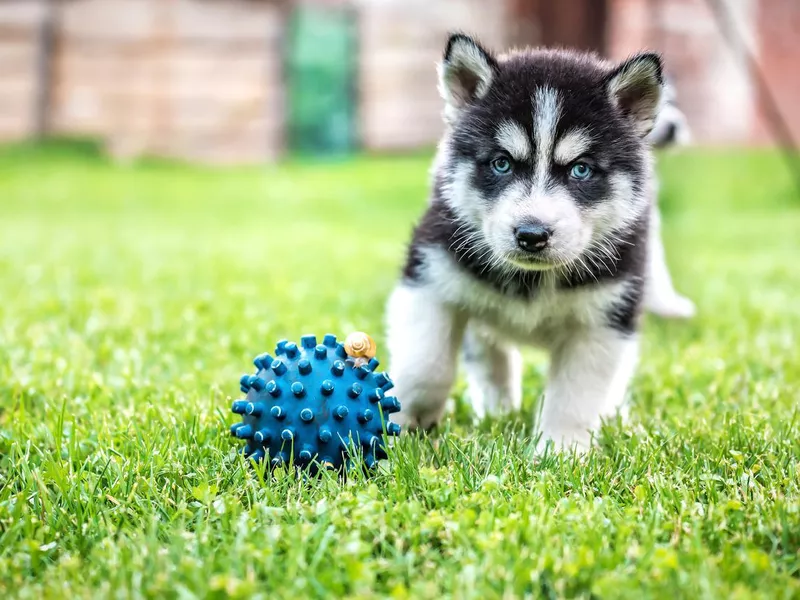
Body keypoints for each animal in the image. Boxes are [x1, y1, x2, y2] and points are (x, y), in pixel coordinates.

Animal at [386, 35, 668, 450]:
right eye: (501, 163)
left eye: (581, 169)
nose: (532, 234)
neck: (533, 279)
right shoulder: (430, 279)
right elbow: (425, 366)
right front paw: (405, 426)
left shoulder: (604, 318)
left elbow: (575, 396)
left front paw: (562, 451)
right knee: (489, 352)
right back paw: (497, 407)